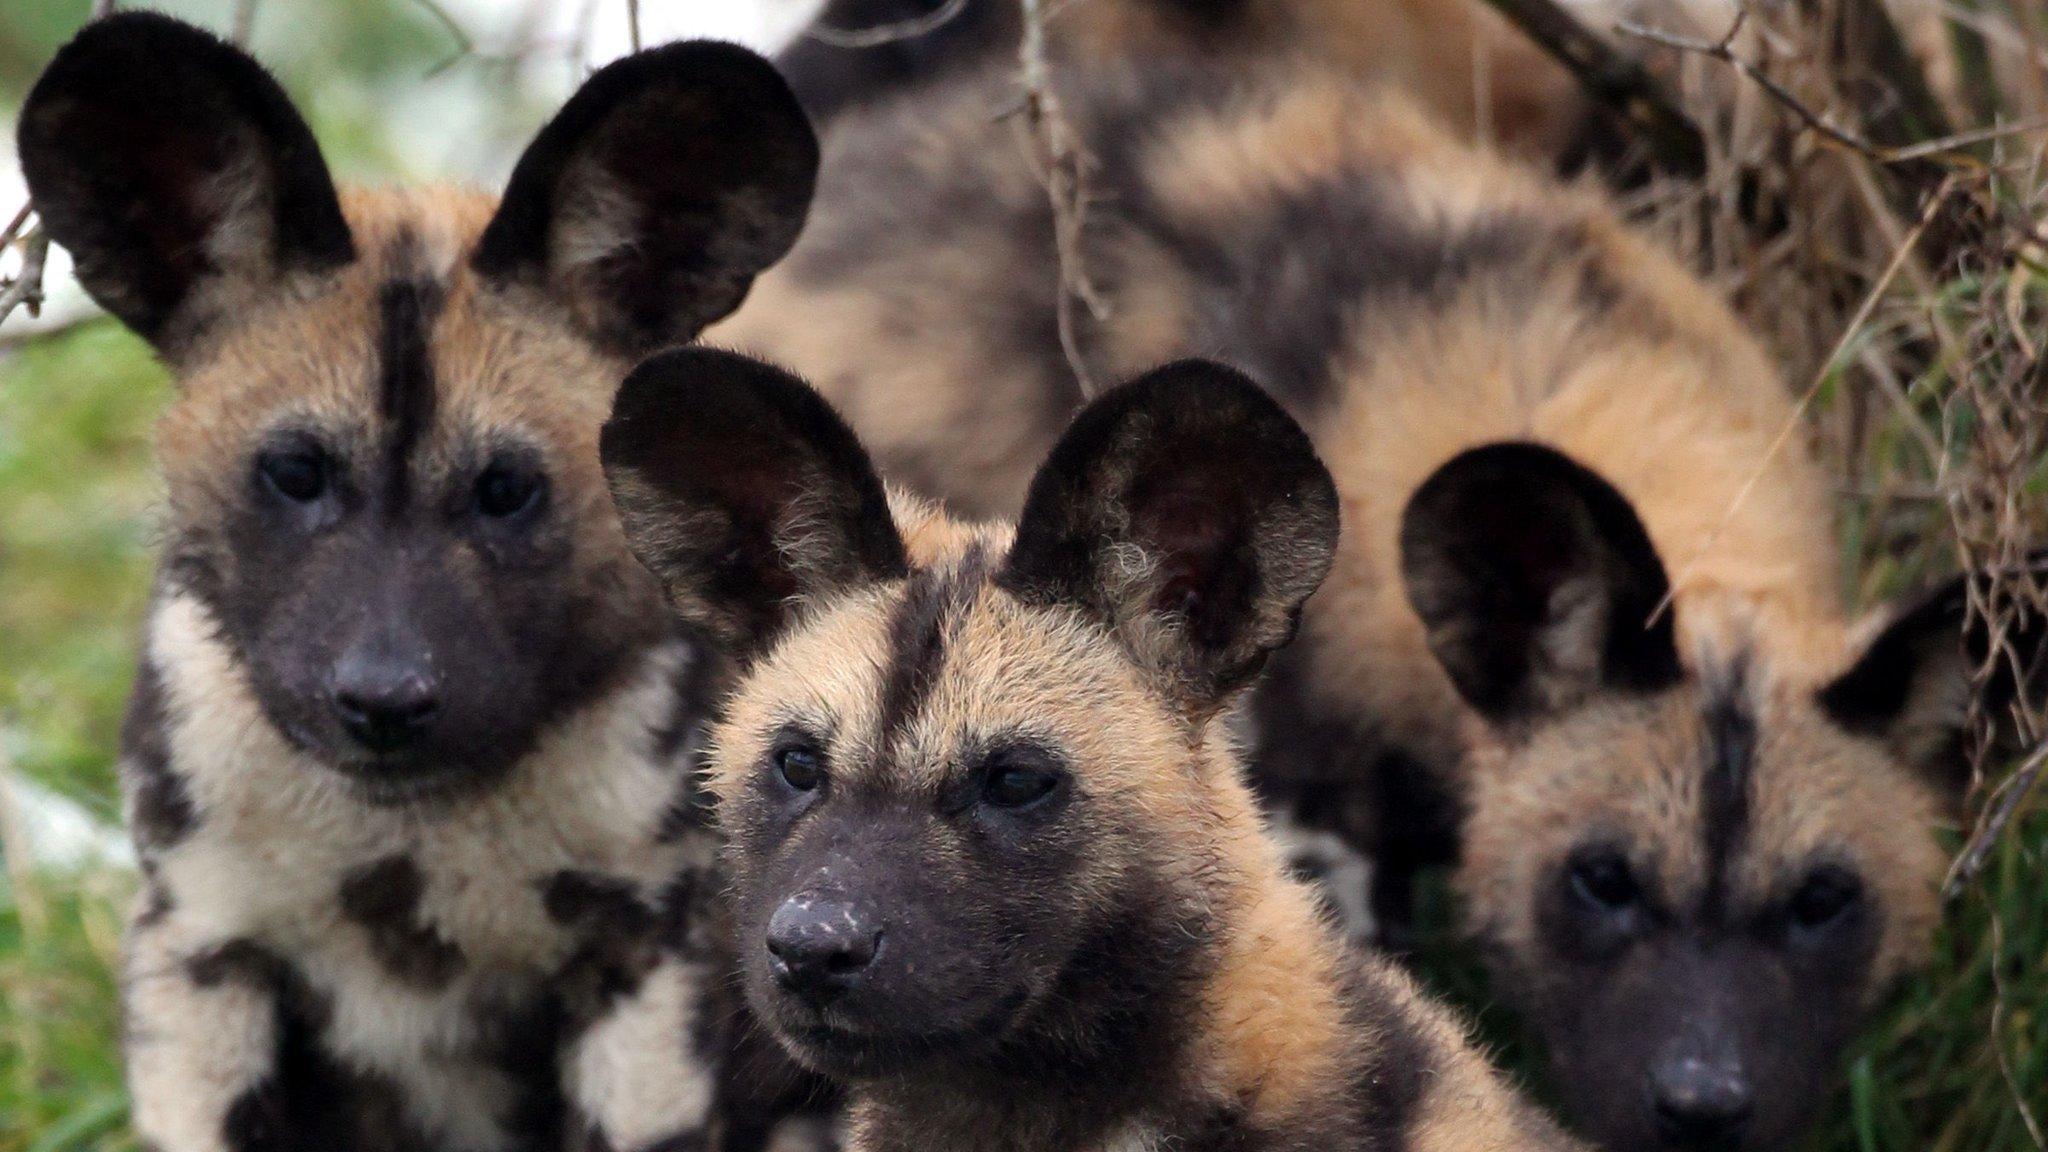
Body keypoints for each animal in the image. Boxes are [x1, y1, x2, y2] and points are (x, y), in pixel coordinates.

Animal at [18, 15, 823, 1147]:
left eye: (505, 490)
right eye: (296, 473)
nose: (384, 700)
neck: (402, 849)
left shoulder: (645, 965)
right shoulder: (204, 953)